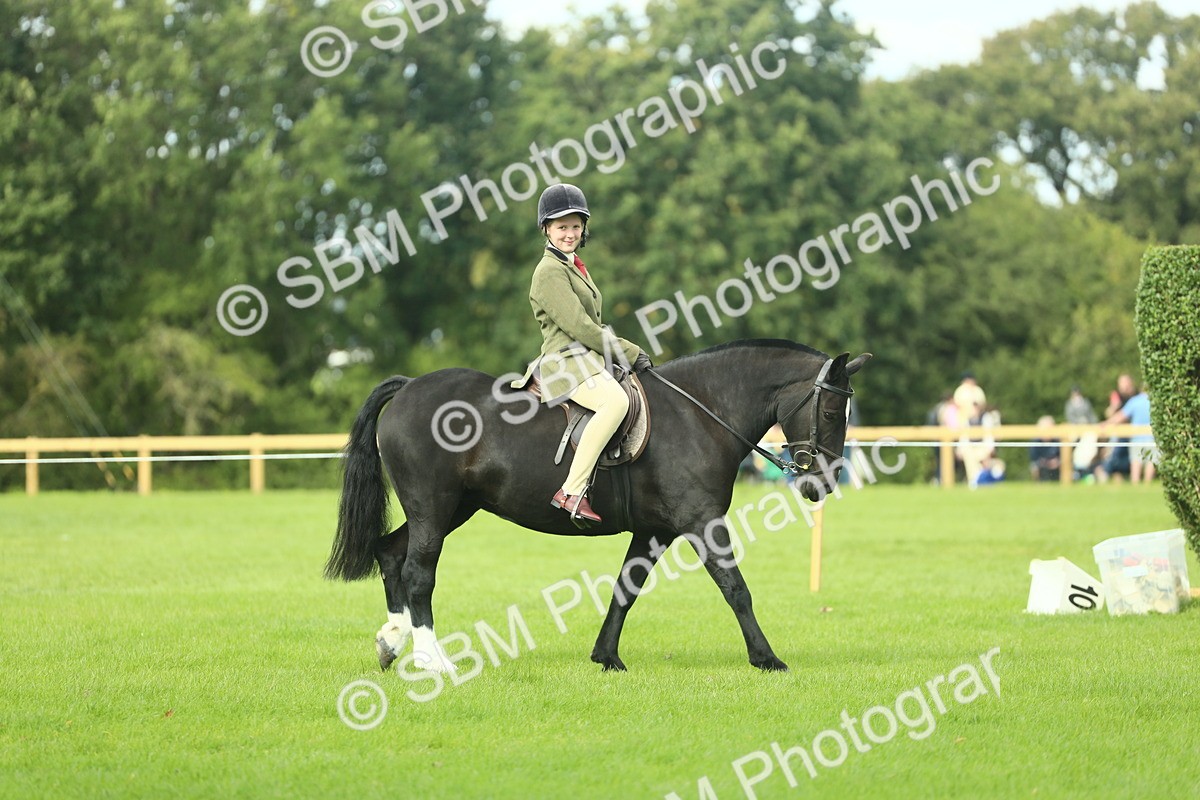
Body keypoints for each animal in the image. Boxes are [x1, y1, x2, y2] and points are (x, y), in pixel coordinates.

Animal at [325, 339, 870, 673]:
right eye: (829, 410)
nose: (823, 483)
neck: (699, 412)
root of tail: (409, 388)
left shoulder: (654, 531)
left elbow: (625, 590)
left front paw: (606, 656)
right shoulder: (701, 522)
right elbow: (736, 589)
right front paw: (766, 658)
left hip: (450, 510)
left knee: (390, 553)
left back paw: (393, 643)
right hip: (434, 510)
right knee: (418, 573)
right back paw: (432, 660)